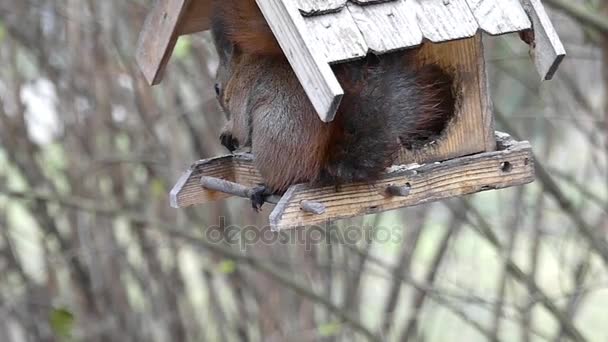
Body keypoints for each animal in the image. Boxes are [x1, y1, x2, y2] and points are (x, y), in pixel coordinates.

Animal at [211, 0, 454, 210]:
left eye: (216, 88)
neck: (240, 69)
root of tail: (320, 169)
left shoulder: (242, 92)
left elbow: (241, 128)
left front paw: (228, 133)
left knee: (281, 182)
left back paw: (264, 189)